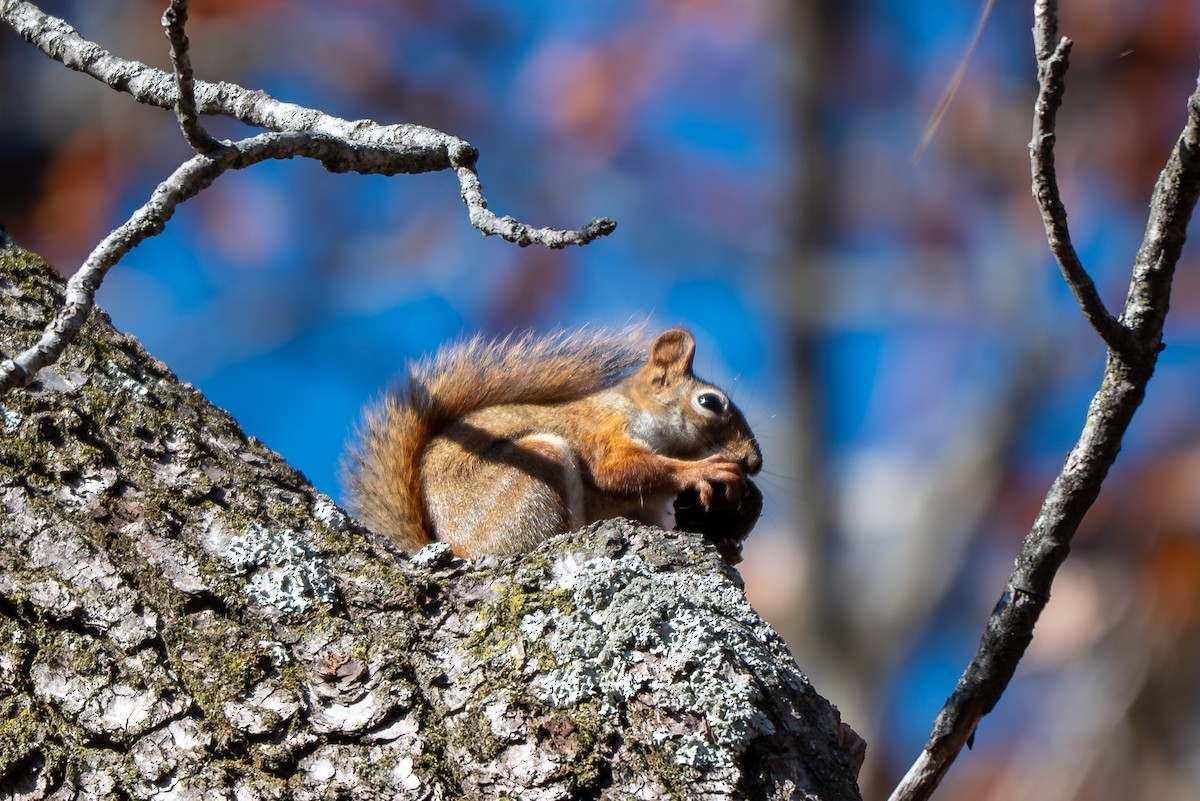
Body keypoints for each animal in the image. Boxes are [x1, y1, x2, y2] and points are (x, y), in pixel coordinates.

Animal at [344, 327, 762, 558]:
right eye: (709, 403)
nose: (753, 463)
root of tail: (451, 544)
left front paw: (727, 548)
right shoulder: (601, 429)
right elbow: (616, 470)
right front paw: (704, 470)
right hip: (536, 467)